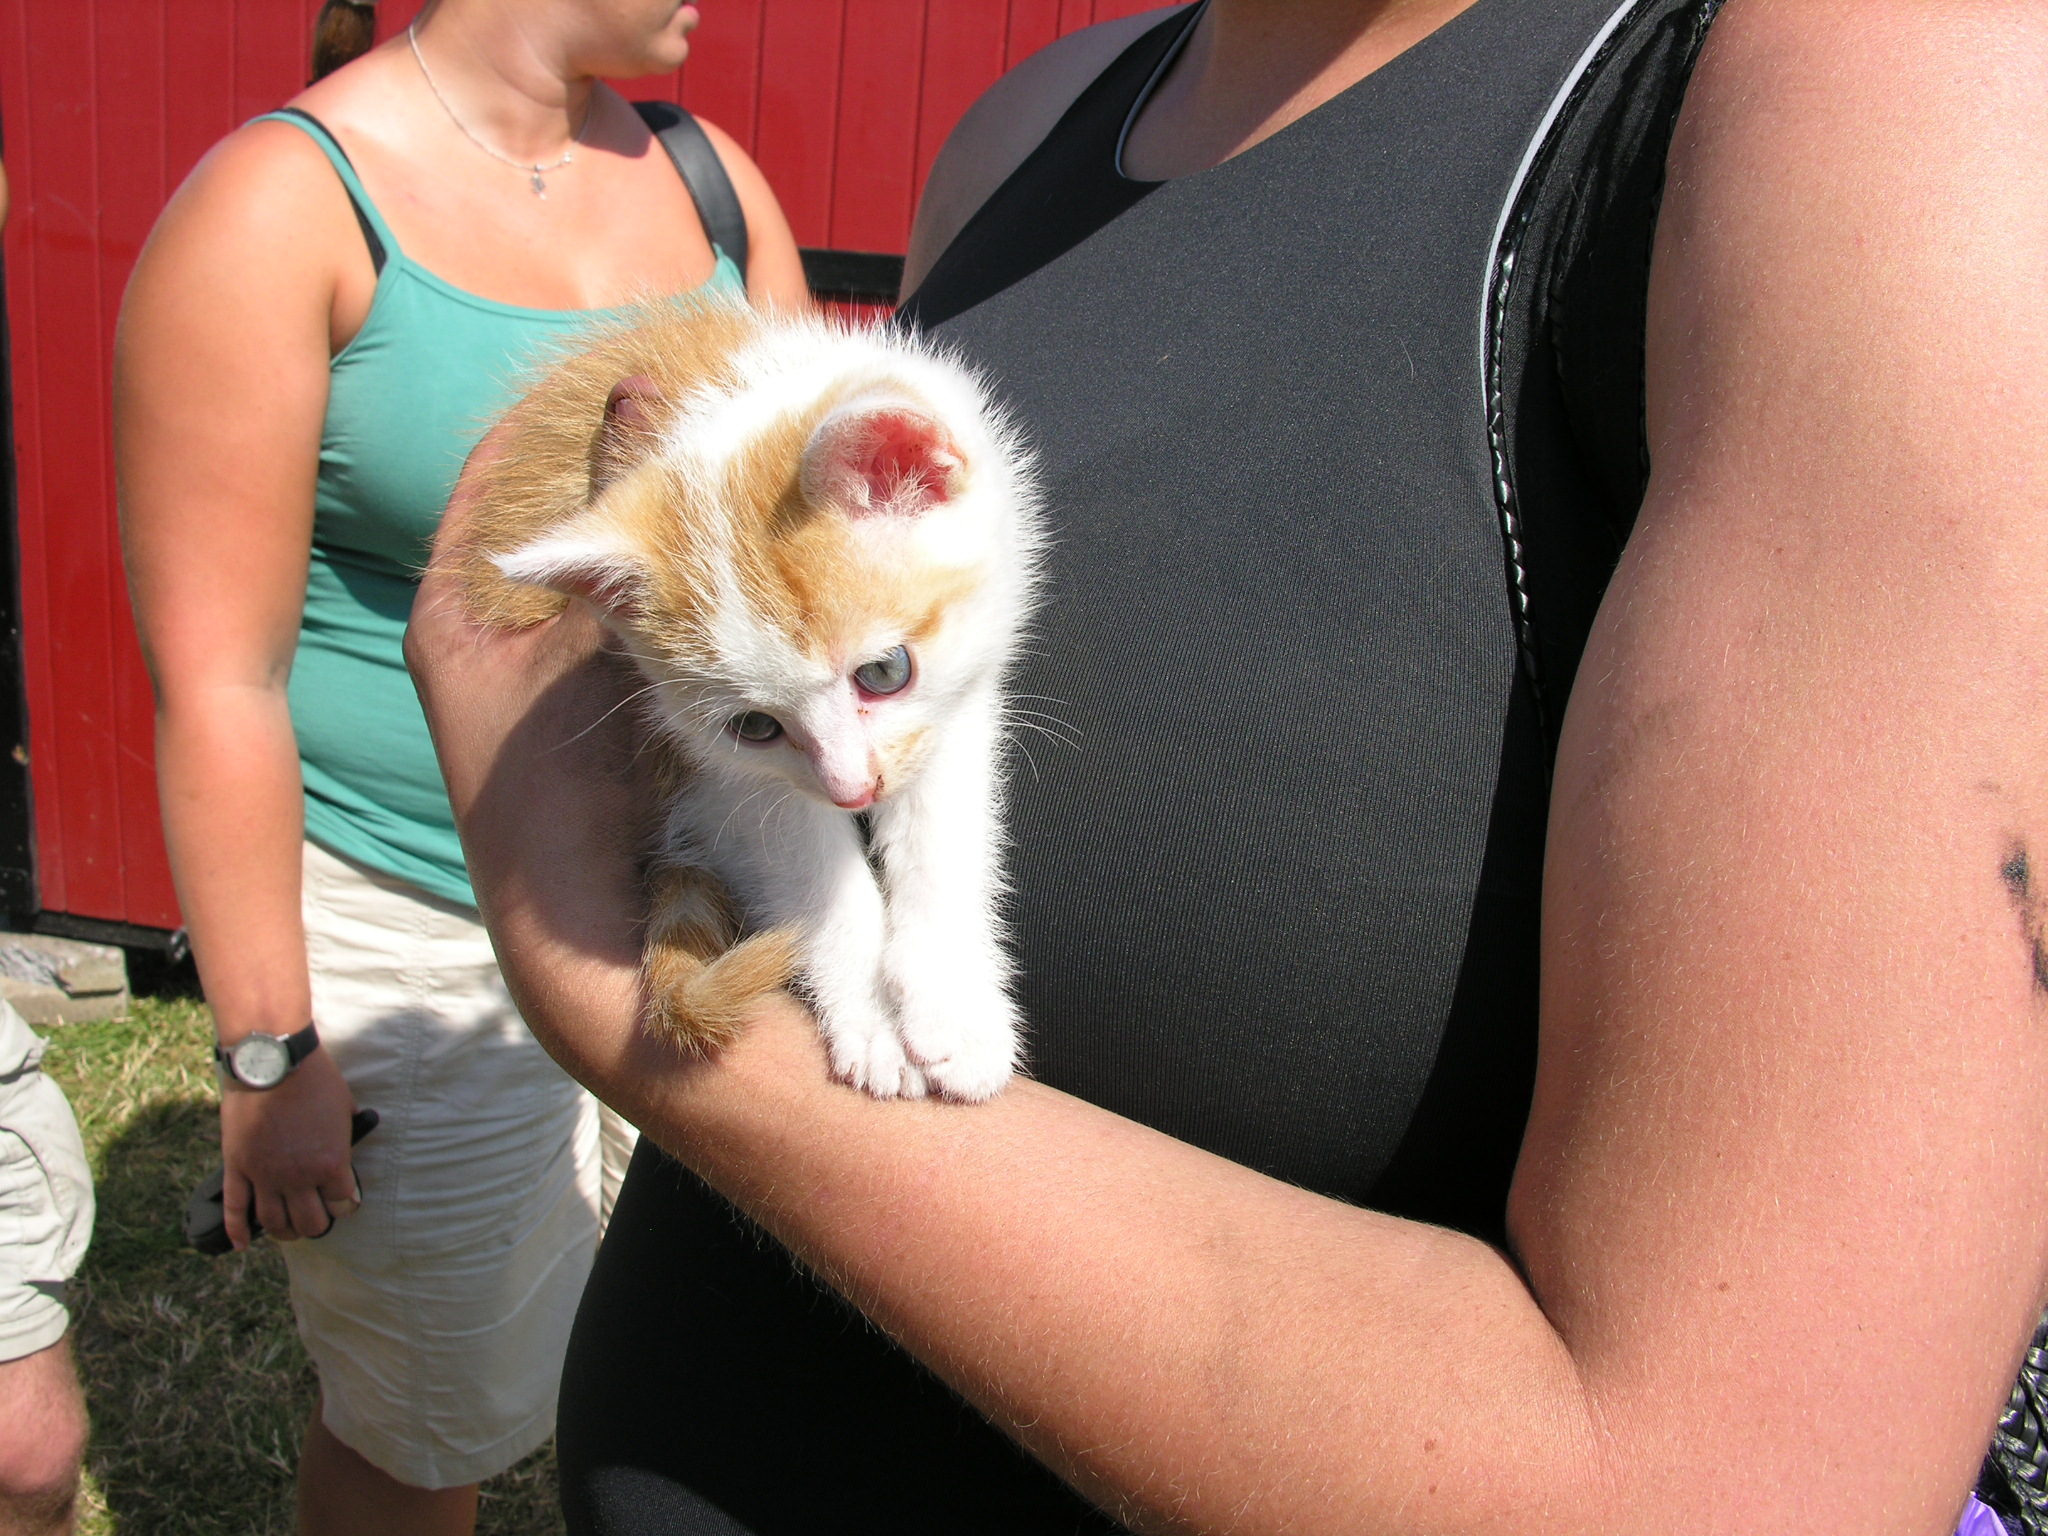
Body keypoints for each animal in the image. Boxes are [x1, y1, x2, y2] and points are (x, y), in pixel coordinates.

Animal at [452, 298, 1042, 1102]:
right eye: (755, 726)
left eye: (884, 673)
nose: (852, 790)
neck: (729, 390)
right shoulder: (708, 762)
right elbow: (805, 862)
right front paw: (873, 1019)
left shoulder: (959, 694)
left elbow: (943, 830)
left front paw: (953, 1004)